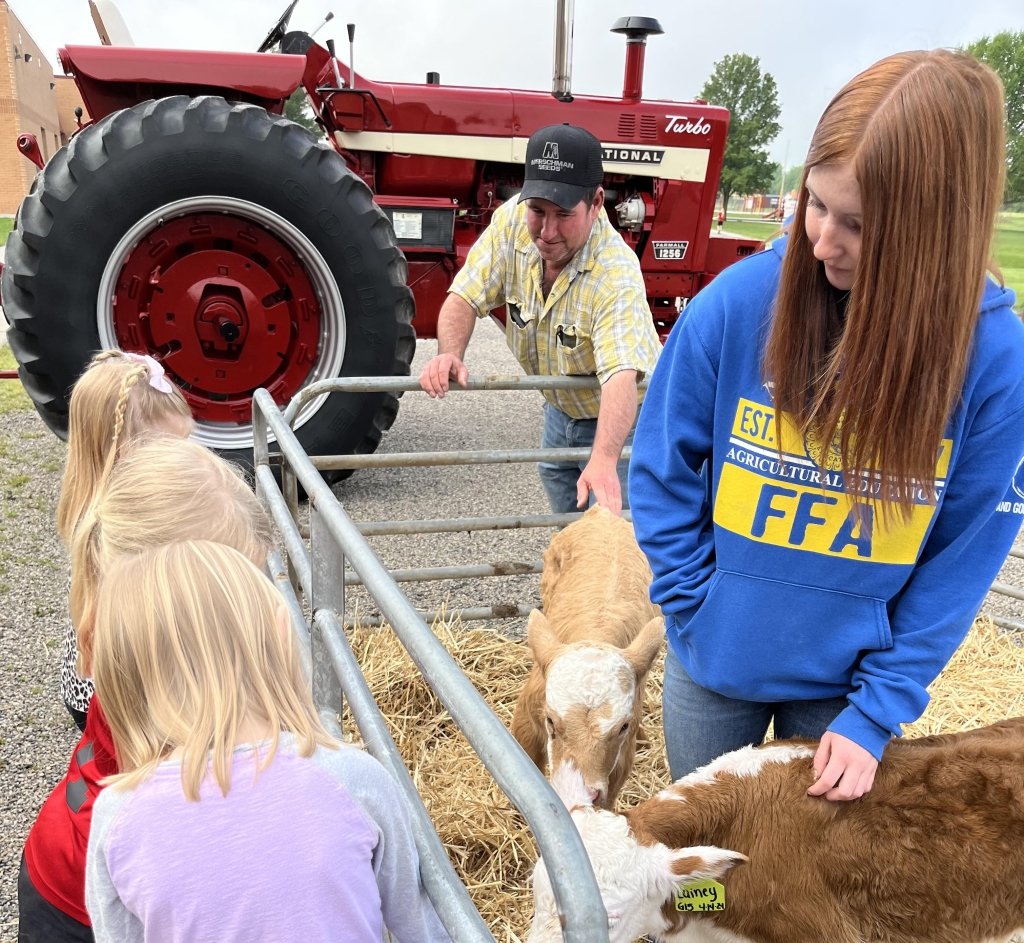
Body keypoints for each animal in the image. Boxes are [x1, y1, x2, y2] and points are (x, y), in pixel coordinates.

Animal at [509, 507, 663, 810]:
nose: (582, 793)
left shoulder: (619, 765)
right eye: (550, 721)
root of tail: (602, 513)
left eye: (623, 726)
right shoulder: (525, 725)